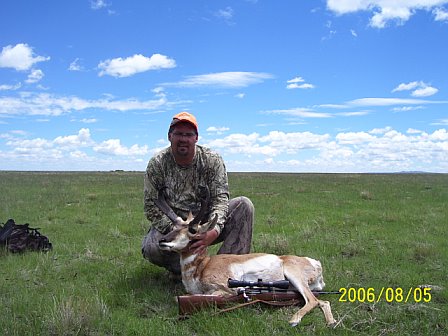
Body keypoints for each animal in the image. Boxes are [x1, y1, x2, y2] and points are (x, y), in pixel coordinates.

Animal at [157, 186, 336, 328]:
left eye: (192, 230)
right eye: (173, 227)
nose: (162, 240)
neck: (202, 266)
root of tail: (315, 263)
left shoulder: (225, 289)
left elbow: (198, 297)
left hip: (294, 276)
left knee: (314, 300)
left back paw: (294, 320)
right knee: (322, 301)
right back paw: (331, 323)